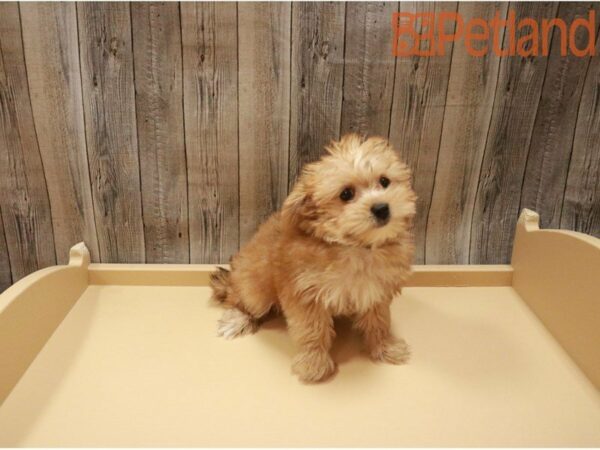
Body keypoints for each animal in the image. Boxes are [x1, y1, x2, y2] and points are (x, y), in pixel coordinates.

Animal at [211, 134, 418, 384]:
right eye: (346, 194)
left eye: (385, 181)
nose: (381, 208)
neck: (353, 247)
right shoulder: (305, 295)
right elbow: (312, 330)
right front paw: (314, 362)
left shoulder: (376, 291)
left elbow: (379, 321)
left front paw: (385, 347)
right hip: (256, 288)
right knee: (240, 298)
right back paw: (237, 318)